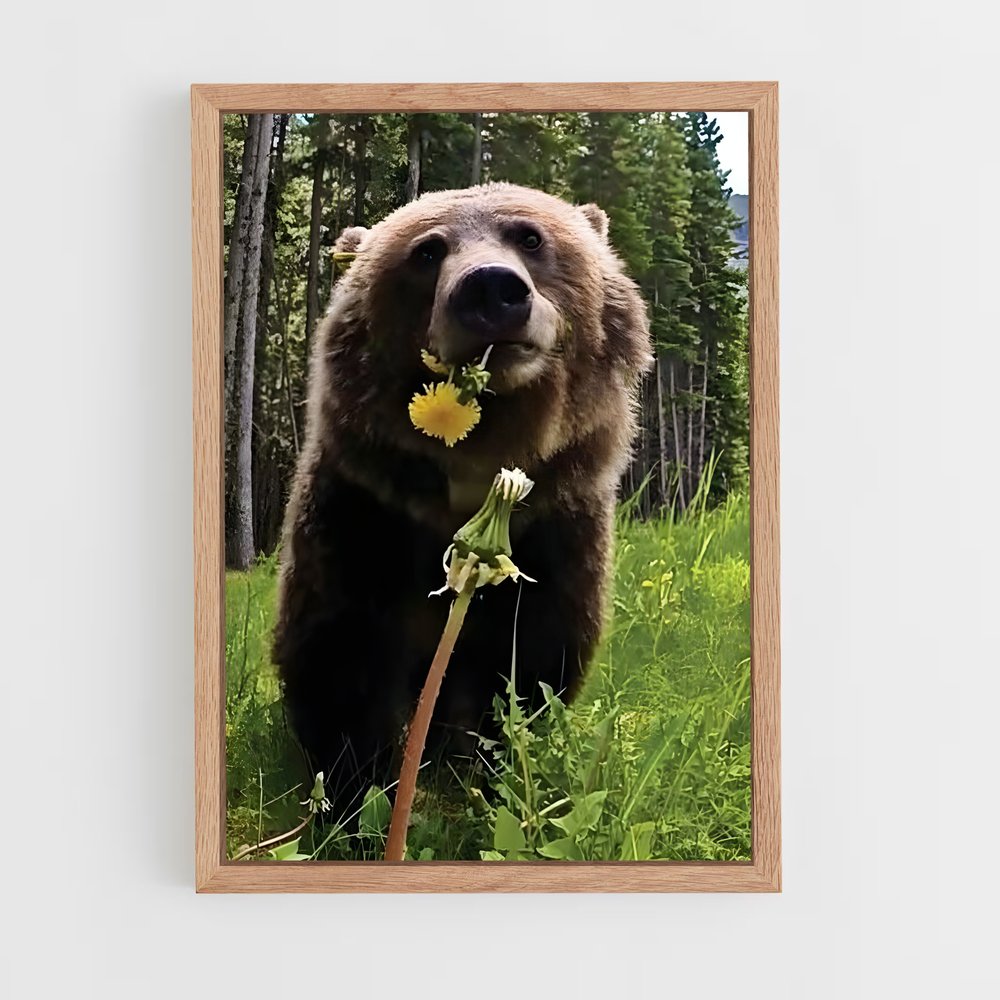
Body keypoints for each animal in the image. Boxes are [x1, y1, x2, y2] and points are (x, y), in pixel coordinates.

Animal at [273, 182, 652, 814]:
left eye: (529, 236)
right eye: (426, 251)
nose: (491, 288)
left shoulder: (556, 528)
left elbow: (529, 660)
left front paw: (488, 771)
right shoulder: (362, 513)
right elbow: (339, 651)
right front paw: (359, 790)